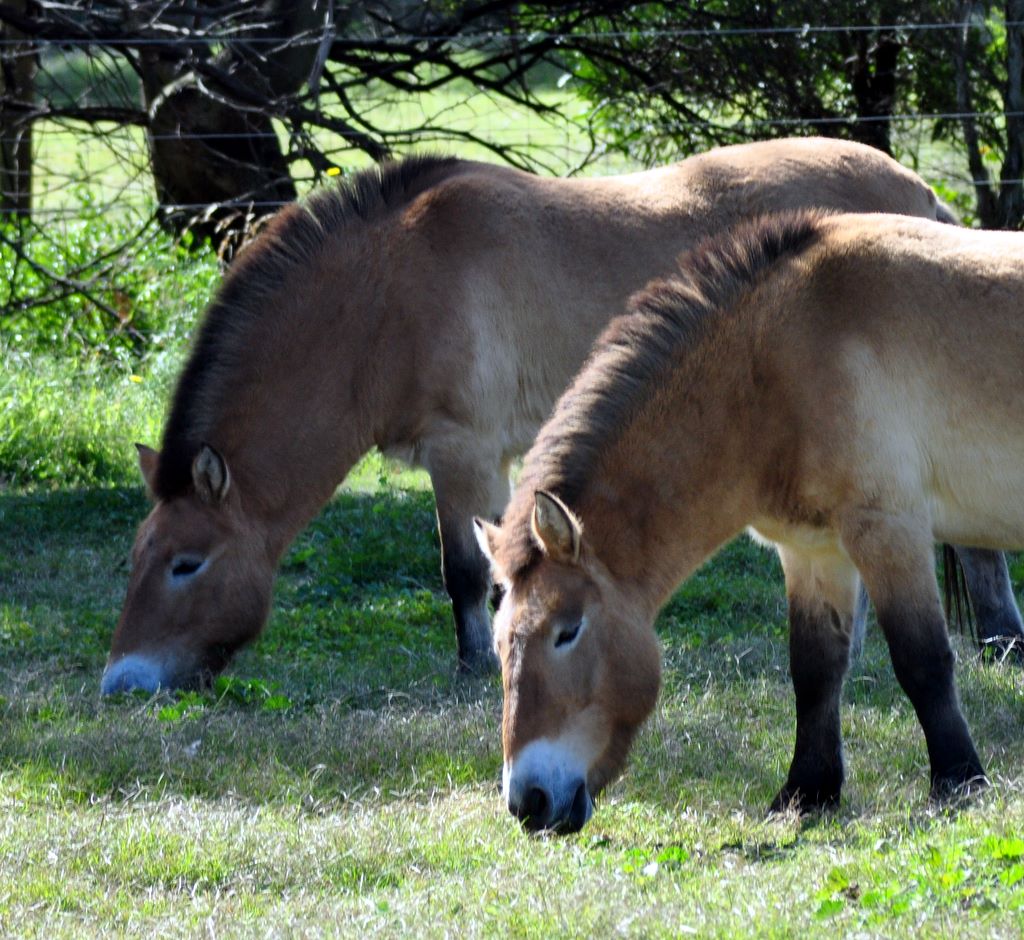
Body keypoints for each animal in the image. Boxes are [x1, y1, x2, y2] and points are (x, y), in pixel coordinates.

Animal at [102, 139, 1023, 694]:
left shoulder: (465, 452)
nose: (122, 683)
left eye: (185, 564)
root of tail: (921, 193)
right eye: (135, 558)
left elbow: (464, 573)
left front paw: (477, 667)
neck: (387, 290)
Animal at [476, 210, 1023, 833]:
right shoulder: (814, 552)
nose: (529, 801)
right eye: (500, 644)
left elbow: (922, 660)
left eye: (567, 631)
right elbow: (814, 671)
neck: (776, 358)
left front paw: (959, 781)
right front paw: (807, 792)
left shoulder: (888, 529)